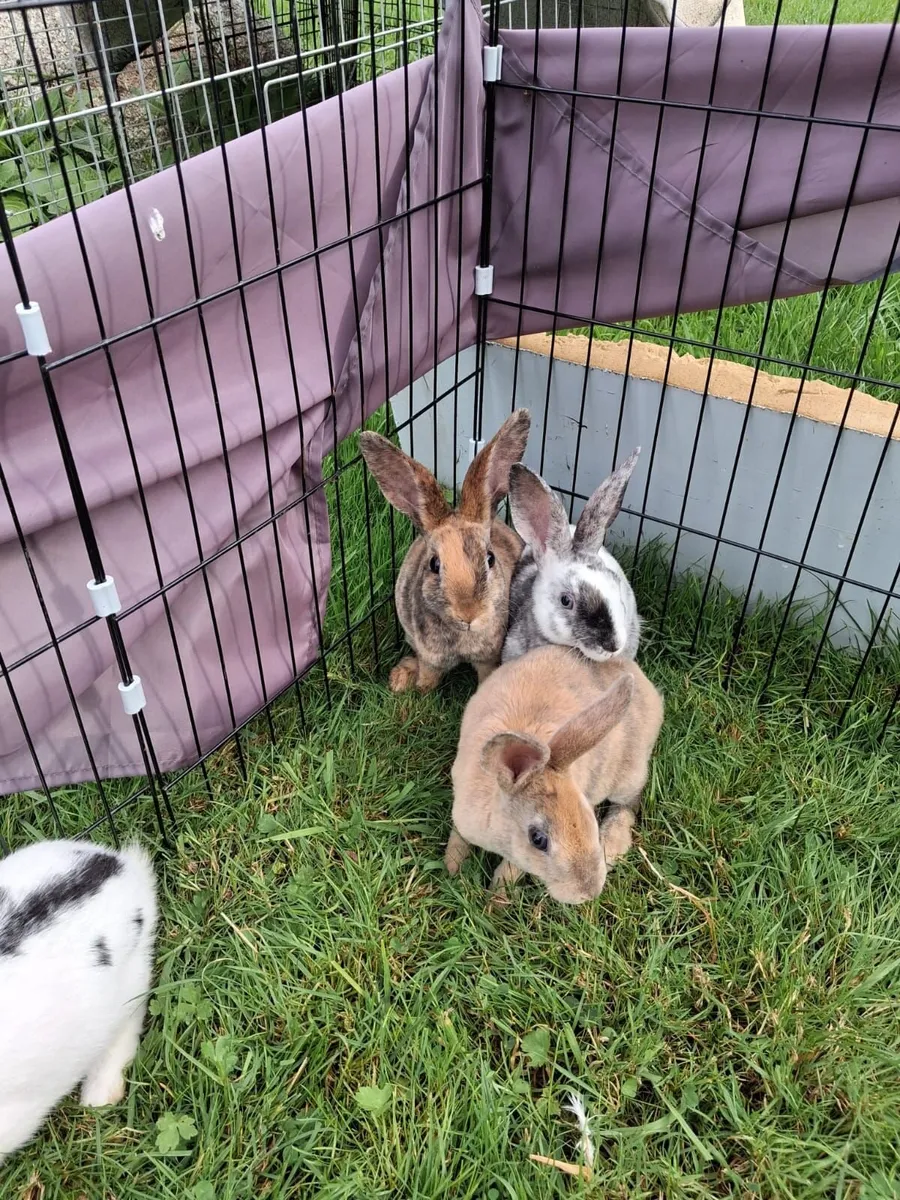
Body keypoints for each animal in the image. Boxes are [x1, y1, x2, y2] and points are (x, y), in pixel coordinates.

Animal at [360, 409, 531, 693]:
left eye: (490, 559)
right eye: (434, 565)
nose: (468, 614)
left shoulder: (488, 657)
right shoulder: (431, 657)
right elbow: (428, 677)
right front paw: (421, 690)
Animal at [444, 644, 663, 904]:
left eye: (588, 815)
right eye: (538, 839)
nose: (588, 893)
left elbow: (509, 871)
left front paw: (496, 902)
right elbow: (458, 839)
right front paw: (452, 870)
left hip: (629, 775)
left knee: (628, 806)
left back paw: (610, 848)